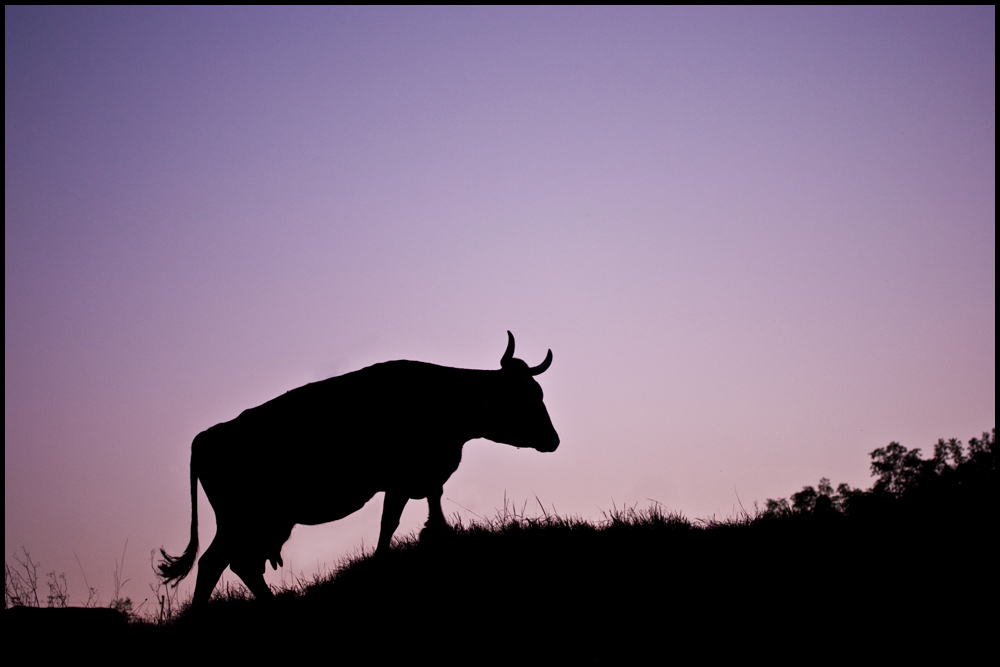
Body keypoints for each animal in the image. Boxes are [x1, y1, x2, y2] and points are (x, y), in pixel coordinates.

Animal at [158, 331, 559, 606]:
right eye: (520, 395)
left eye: (540, 392)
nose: (553, 440)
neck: (441, 399)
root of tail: (208, 435)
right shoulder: (402, 477)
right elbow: (390, 523)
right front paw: (386, 562)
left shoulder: (423, 475)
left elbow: (424, 511)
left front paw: (430, 536)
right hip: (242, 517)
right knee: (216, 562)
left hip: (264, 520)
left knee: (240, 564)